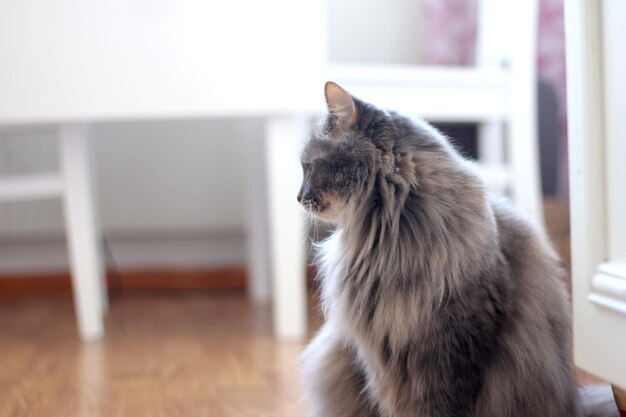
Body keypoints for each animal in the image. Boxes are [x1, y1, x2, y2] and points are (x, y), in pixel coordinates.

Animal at [298, 82, 616, 416]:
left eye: (309, 166)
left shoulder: (455, 348)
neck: (392, 240)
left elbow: (442, 404)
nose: (298, 197)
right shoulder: (378, 357)